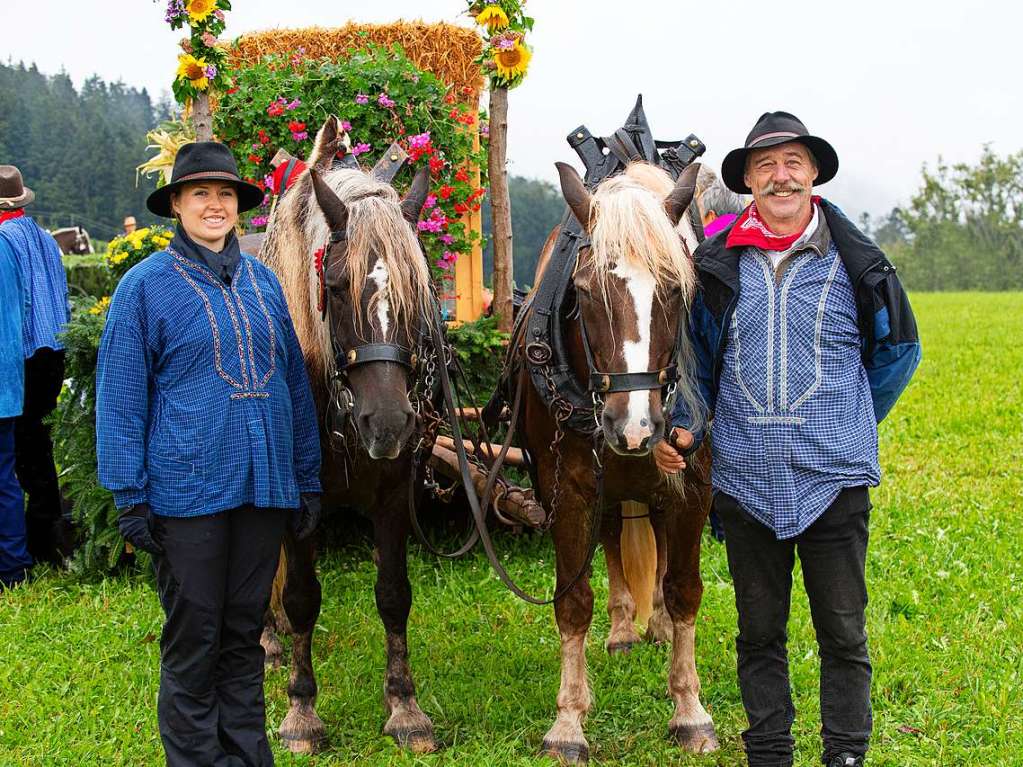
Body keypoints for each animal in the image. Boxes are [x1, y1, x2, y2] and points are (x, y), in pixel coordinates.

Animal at [257, 118, 437, 756]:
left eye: (418, 288)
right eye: (335, 287)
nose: (386, 424)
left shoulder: (393, 494)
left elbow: (394, 594)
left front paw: (404, 706)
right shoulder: (295, 502)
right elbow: (302, 598)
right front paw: (301, 711)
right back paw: (267, 640)